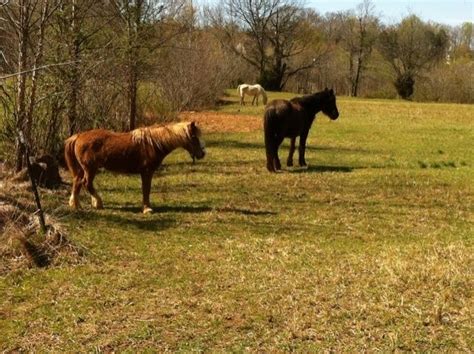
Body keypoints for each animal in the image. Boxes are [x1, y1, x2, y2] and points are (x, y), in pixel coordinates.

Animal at [64, 121, 206, 213]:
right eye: (194, 137)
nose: (202, 153)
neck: (153, 143)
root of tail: (78, 136)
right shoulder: (147, 172)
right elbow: (146, 189)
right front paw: (147, 208)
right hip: (90, 169)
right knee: (86, 183)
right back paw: (97, 203)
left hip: (83, 169)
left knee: (77, 182)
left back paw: (76, 204)